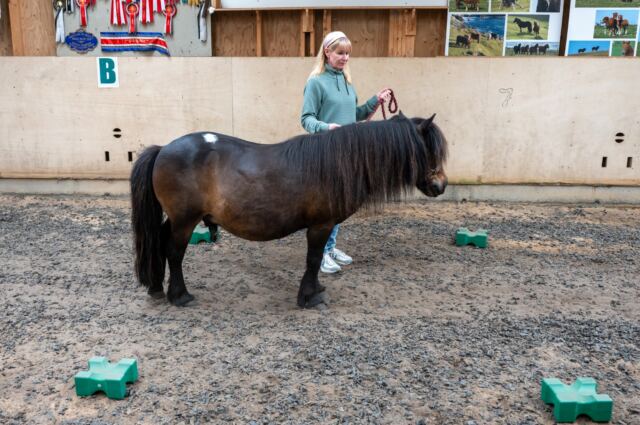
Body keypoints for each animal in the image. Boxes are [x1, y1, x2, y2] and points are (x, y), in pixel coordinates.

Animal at [130, 113, 449, 308]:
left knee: (159, 243)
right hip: (184, 221)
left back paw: (156, 287)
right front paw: (309, 297)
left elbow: (315, 261)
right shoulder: (320, 226)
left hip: (175, 219)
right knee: (174, 252)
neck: (338, 163)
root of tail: (163, 148)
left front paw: (316, 289)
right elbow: (313, 259)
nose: (441, 185)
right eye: (429, 150)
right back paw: (179, 295)